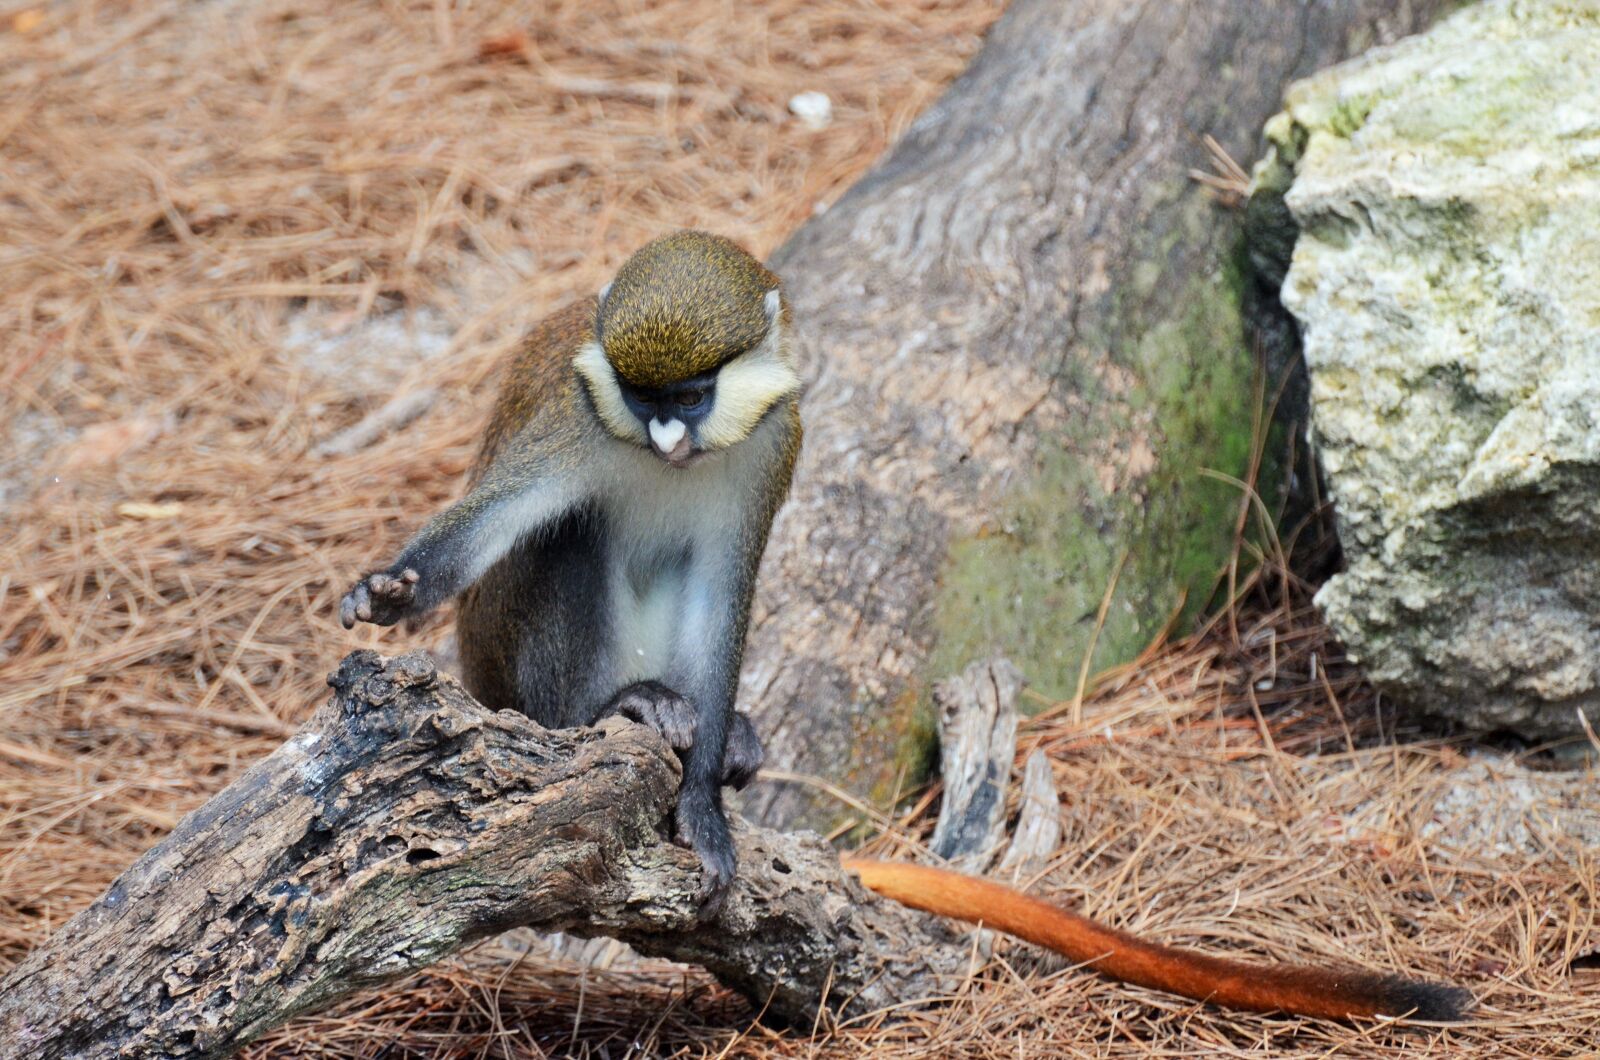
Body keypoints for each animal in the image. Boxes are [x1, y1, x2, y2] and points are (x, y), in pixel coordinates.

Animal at [339, 230, 800, 911]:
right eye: (642, 396)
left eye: (690, 397)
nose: (665, 440)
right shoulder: (577, 416)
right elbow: (495, 517)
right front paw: (392, 590)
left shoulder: (773, 446)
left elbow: (719, 605)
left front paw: (702, 808)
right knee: (569, 535)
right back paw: (611, 709)